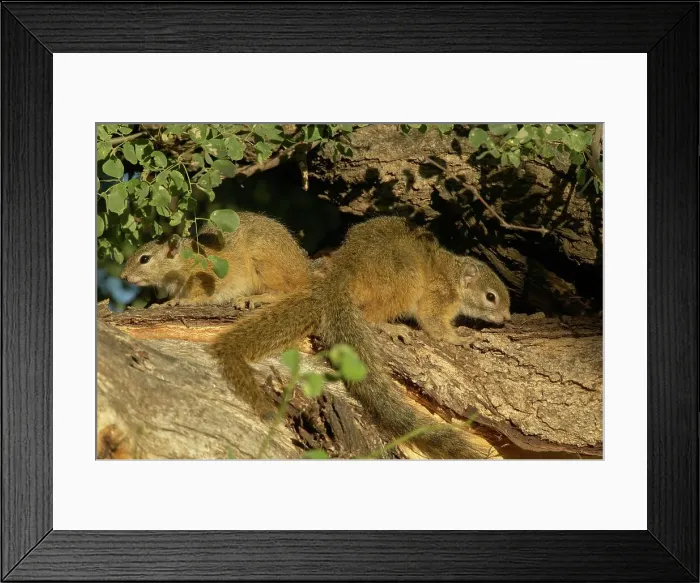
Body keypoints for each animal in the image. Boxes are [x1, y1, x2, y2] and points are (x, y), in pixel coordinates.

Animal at [120, 211, 311, 308]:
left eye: (144, 259)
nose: (123, 276)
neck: (185, 262)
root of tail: (302, 271)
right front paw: (162, 303)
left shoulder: (210, 280)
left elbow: (204, 296)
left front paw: (179, 301)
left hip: (265, 264)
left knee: (283, 292)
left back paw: (254, 298)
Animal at [212, 216, 511, 458]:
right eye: (491, 297)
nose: (507, 318)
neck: (453, 274)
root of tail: (343, 273)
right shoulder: (439, 296)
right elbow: (434, 324)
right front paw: (461, 339)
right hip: (406, 280)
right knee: (370, 315)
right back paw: (391, 327)